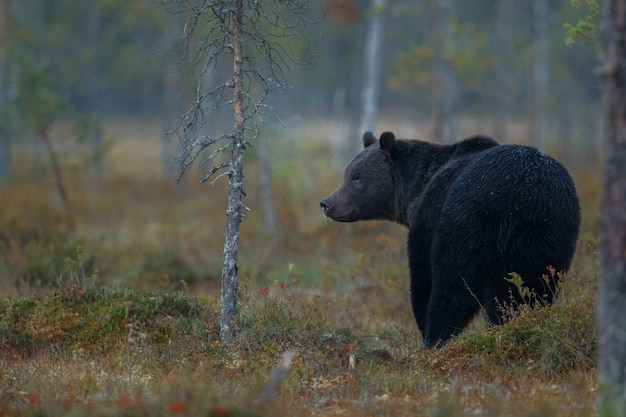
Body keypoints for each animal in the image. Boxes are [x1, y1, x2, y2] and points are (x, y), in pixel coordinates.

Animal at [322, 132, 580, 346]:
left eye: (357, 177)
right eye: (348, 173)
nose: (326, 202)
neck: (416, 188)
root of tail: (521, 198)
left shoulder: (427, 222)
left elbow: (423, 279)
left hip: (467, 225)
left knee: (451, 290)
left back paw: (438, 339)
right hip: (545, 237)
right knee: (530, 289)